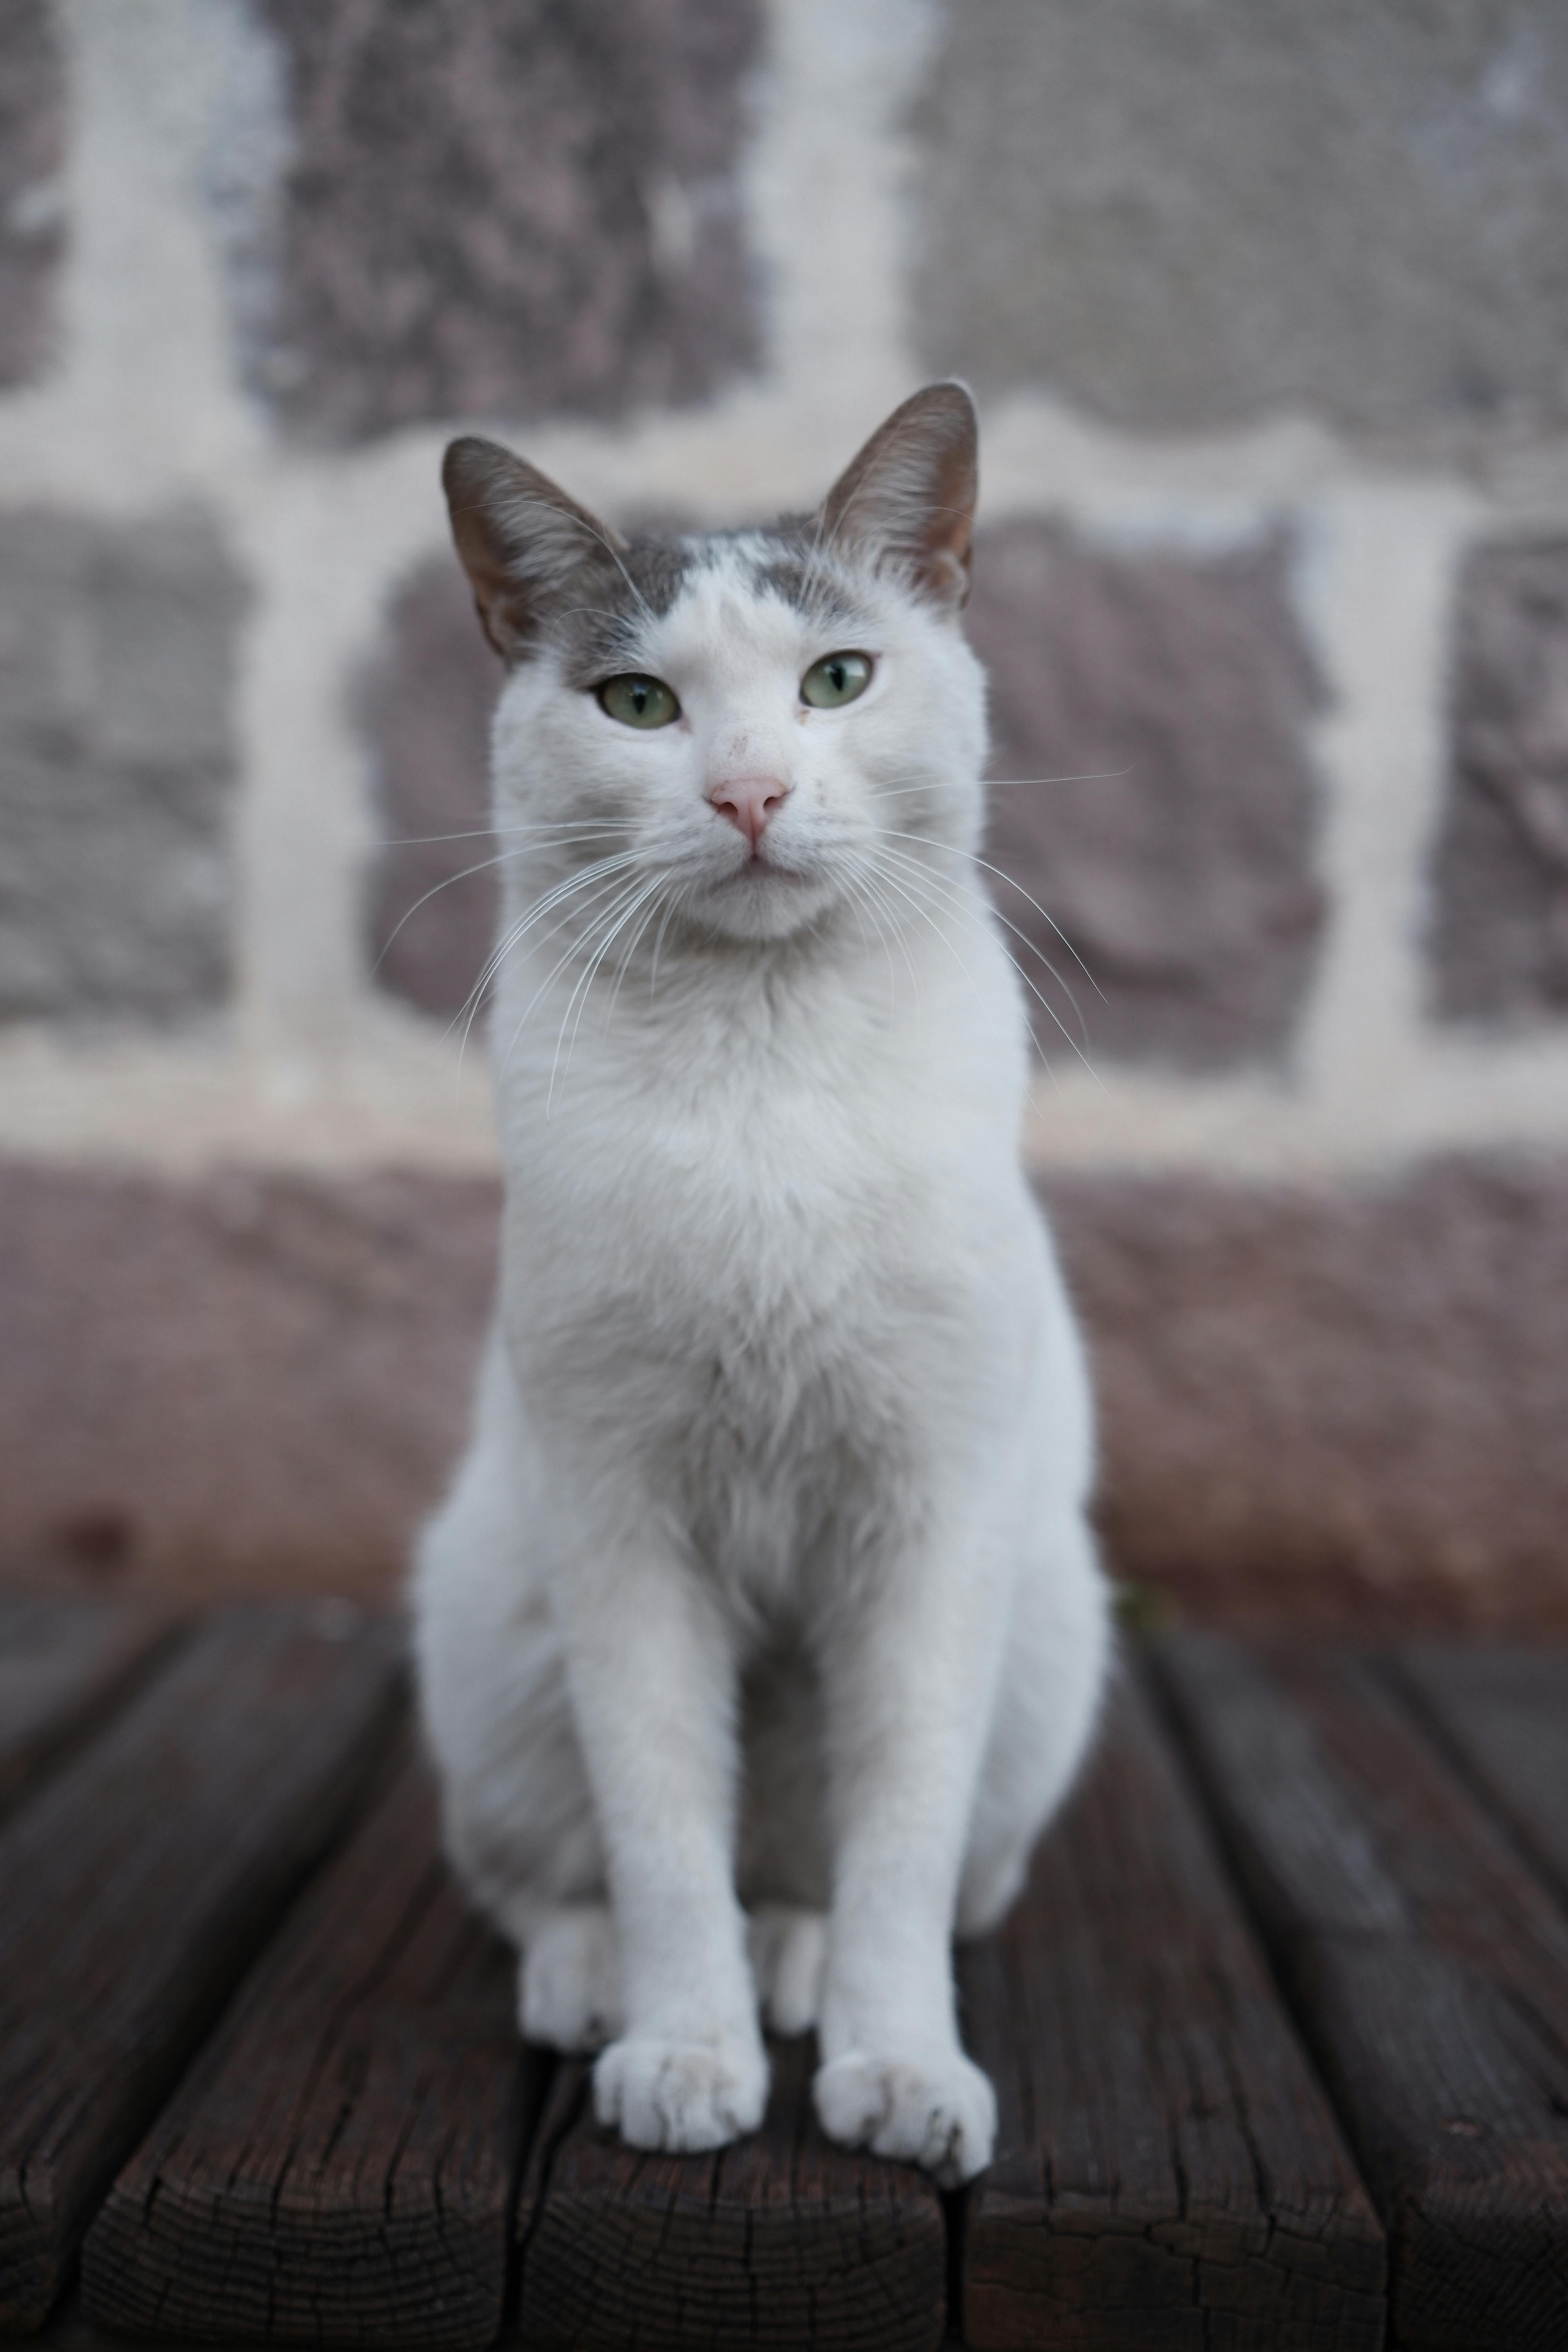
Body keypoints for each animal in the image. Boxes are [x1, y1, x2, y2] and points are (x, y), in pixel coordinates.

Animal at [411, 386, 1109, 2183]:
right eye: (637, 703)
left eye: (837, 680)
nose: (744, 793)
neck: (761, 1057)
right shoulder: (620, 1522)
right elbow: (660, 1831)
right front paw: (683, 2052)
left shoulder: (935, 1521)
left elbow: (902, 1847)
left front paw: (901, 2067)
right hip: (493, 1617)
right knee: (542, 1877)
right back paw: (599, 1982)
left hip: (1044, 1640)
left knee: (840, 1869)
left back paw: (797, 1962)